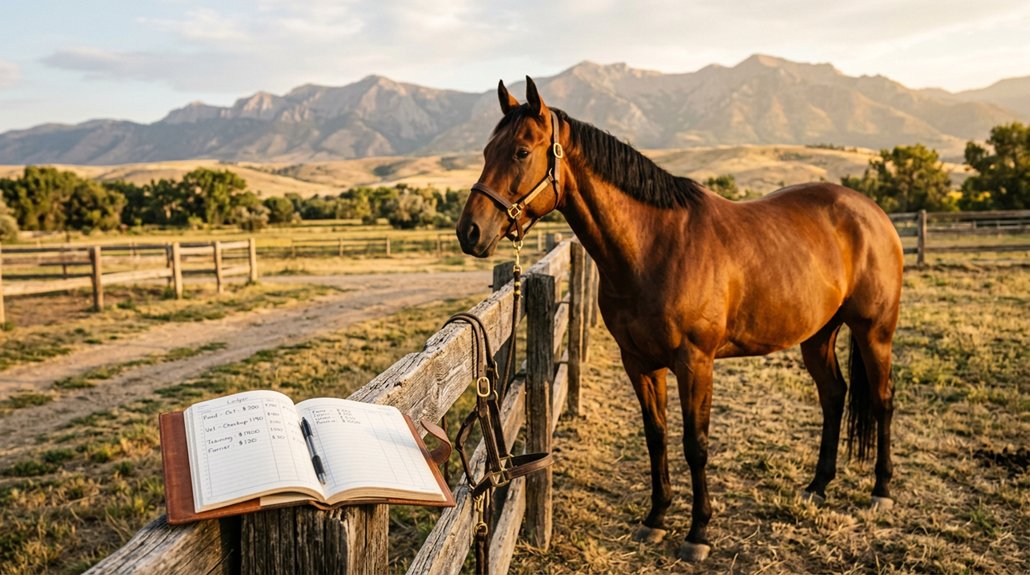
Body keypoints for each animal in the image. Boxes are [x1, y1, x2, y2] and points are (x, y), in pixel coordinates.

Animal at [455, 77, 902, 562]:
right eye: (486, 151)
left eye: (521, 151)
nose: (470, 231)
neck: (655, 245)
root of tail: (873, 214)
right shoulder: (639, 363)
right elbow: (656, 437)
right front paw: (655, 519)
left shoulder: (696, 364)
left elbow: (695, 445)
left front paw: (698, 532)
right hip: (818, 335)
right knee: (834, 396)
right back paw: (818, 485)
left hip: (874, 333)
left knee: (882, 401)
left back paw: (881, 491)